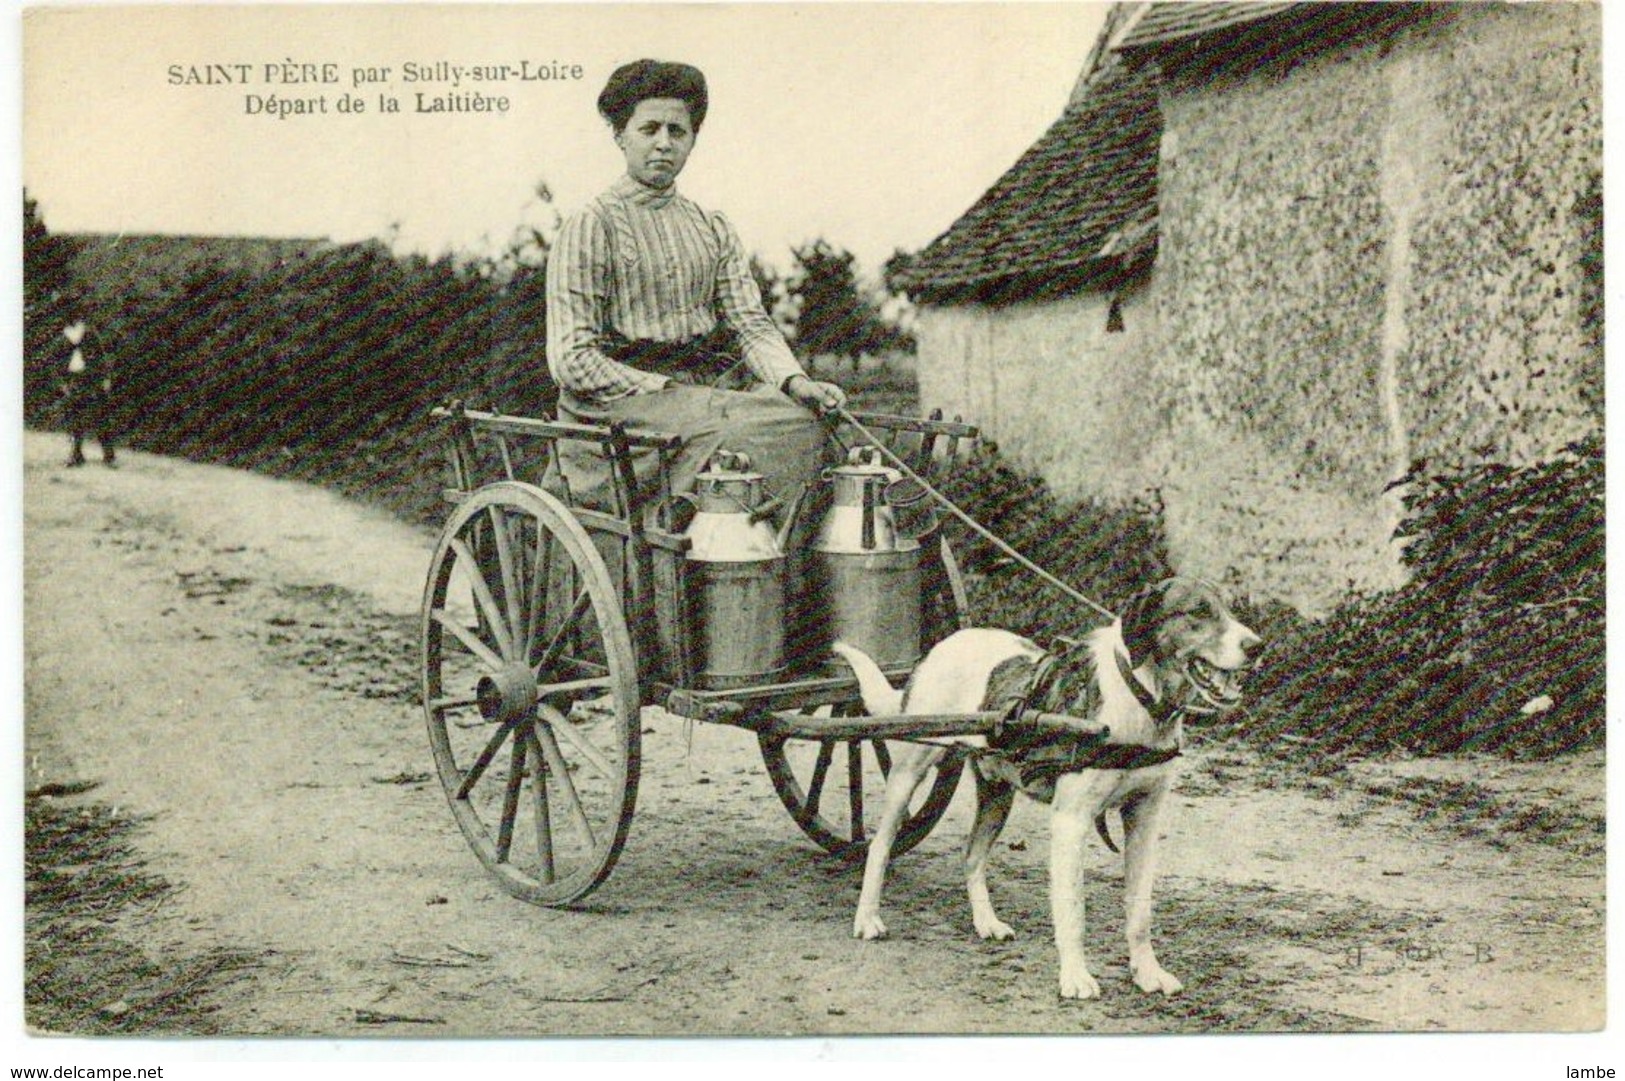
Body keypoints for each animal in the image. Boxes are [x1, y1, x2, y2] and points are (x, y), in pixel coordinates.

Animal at [832, 578, 1261, 1001]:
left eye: (1234, 608)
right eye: (1199, 611)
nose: (1256, 646)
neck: (1138, 699)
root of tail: (943, 643)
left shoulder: (1144, 817)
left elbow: (1140, 911)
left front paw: (1147, 973)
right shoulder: (1071, 822)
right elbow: (1073, 911)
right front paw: (1075, 976)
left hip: (997, 789)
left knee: (972, 855)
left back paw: (985, 921)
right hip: (909, 772)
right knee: (880, 845)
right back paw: (867, 917)